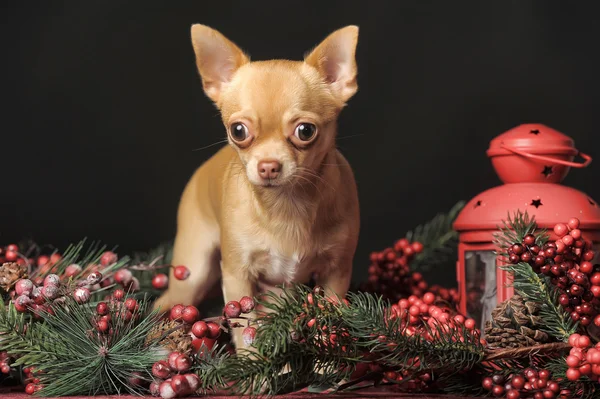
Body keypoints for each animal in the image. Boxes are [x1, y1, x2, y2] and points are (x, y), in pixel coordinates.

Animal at [155, 24, 360, 350]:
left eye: (306, 131)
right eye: (238, 131)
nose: (268, 166)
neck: (287, 203)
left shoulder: (336, 274)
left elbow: (329, 322)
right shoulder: (237, 275)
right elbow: (246, 330)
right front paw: (253, 363)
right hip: (193, 271)